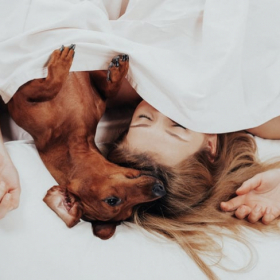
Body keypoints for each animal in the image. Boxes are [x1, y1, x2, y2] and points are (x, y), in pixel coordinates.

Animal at [7, 44, 166, 240]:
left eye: (130, 211)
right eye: (112, 201)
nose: (160, 189)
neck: (75, 138)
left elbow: (109, 90)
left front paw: (117, 72)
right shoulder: (18, 100)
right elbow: (51, 87)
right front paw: (62, 64)